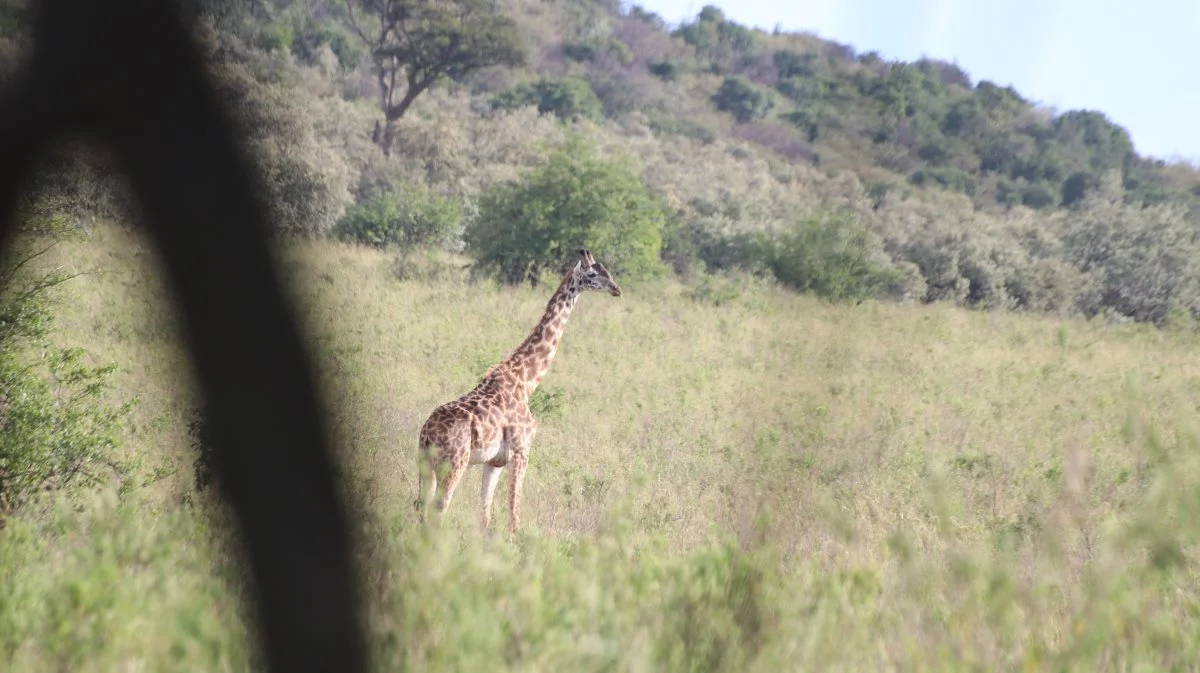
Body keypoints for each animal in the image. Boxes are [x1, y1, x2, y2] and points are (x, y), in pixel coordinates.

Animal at [415, 247, 624, 535]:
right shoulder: (521, 450)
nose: (616, 289)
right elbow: (514, 516)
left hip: (425, 467)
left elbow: (485, 515)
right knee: (439, 509)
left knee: (421, 509)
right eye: (592, 274)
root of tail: (427, 434)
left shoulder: (495, 461)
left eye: (608, 272)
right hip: (454, 463)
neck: (527, 379)